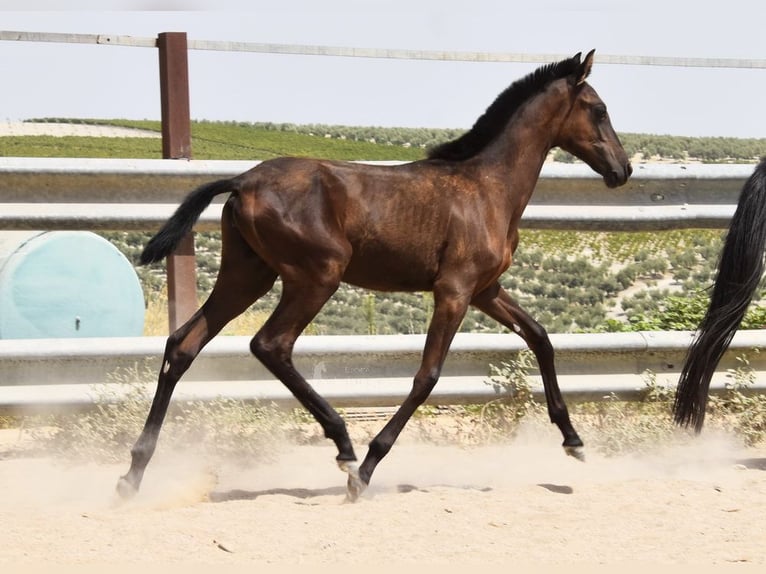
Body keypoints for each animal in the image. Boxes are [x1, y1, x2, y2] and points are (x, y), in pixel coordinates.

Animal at [117, 49, 632, 502]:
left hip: (248, 275)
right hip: (316, 276)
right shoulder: (454, 290)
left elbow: (541, 337)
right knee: (270, 344)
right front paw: (366, 469)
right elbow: (427, 375)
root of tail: (243, 181)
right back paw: (344, 448)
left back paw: (133, 474)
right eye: (600, 109)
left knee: (183, 344)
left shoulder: (486, 290)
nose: (623, 169)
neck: (488, 188)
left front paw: (573, 440)